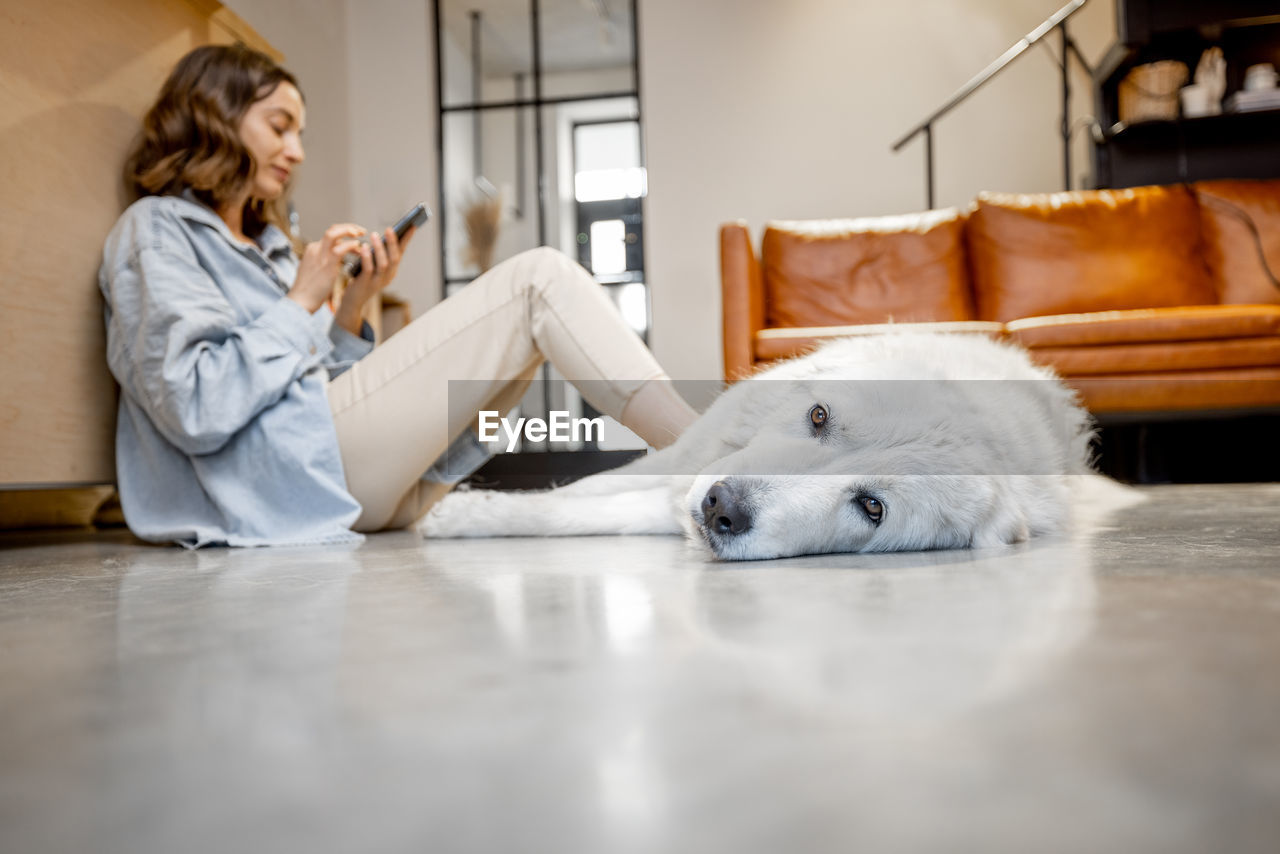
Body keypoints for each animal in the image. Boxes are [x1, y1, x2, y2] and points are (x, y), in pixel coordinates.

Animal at [419, 332, 1090, 560]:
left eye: (872, 507)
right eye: (818, 417)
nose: (722, 508)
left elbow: (588, 515)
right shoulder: (685, 463)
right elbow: (572, 498)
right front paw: (465, 512)